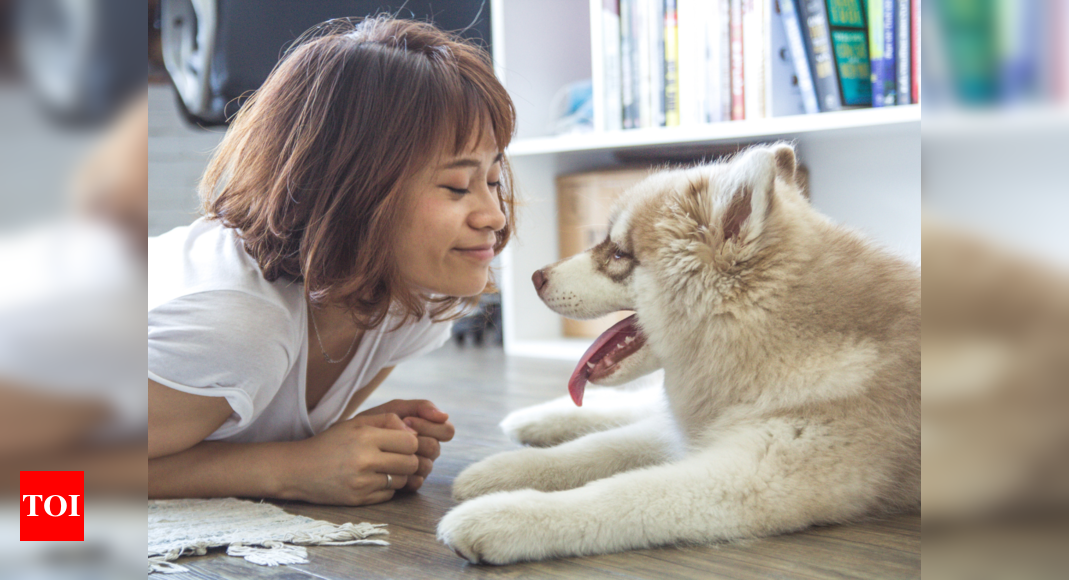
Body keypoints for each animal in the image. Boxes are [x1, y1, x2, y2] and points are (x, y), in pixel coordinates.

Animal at [434, 143, 919, 563]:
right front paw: (501, 470)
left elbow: (619, 493)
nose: (535, 277)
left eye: (618, 253)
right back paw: (535, 419)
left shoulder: (751, 477)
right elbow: (596, 448)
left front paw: (503, 516)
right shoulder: (700, 433)